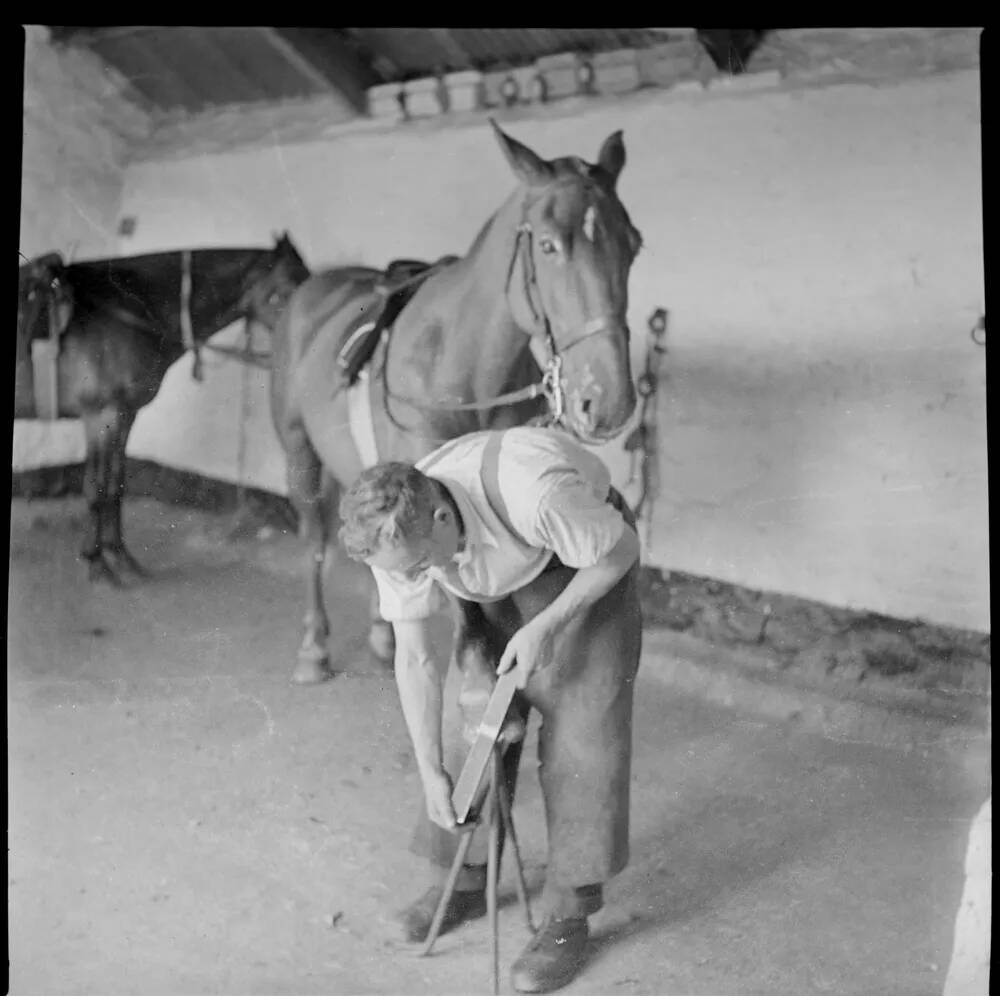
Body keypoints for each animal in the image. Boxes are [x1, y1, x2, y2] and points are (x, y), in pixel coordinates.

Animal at [16, 237, 308, 588]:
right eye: (290, 287)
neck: (124, 311)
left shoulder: (124, 416)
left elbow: (115, 486)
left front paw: (121, 558)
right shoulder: (100, 416)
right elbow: (95, 488)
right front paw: (96, 564)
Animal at [272, 118, 640, 684]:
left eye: (634, 245)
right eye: (549, 246)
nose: (608, 399)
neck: (459, 364)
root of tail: (312, 288)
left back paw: (380, 634)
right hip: (299, 454)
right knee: (315, 540)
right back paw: (314, 647)